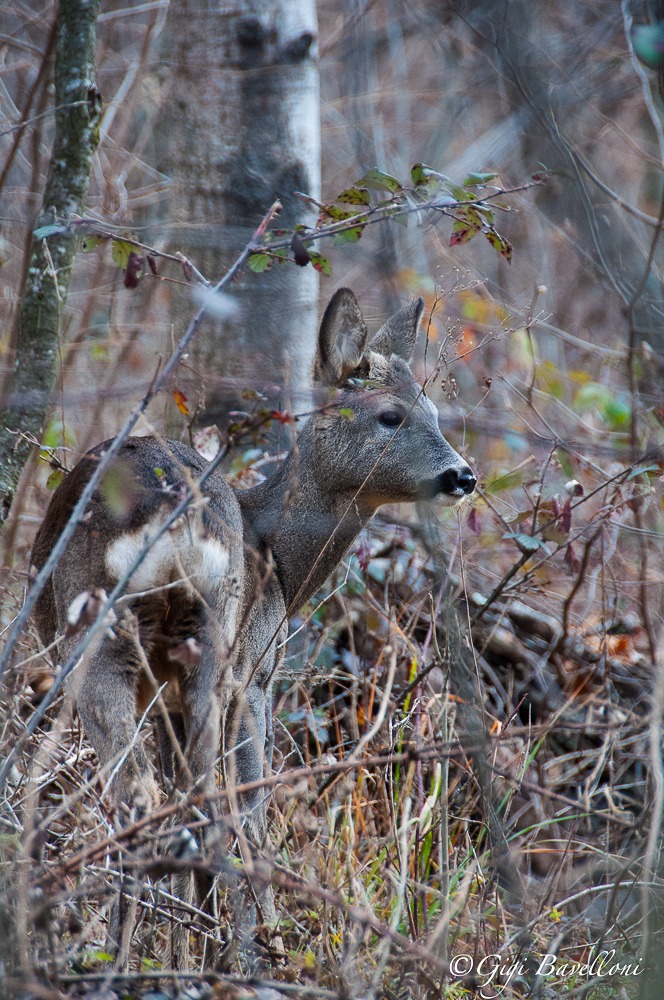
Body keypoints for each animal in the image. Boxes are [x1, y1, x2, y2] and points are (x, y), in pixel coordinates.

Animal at [32, 290, 478, 960]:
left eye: (434, 411)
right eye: (391, 415)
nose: (463, 476)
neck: (282, 568)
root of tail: (174, 517)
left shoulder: (202, 687)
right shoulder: (254, 676)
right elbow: (252, 804)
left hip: (143, 644)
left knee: (161, 798)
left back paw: (174, 948)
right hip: (172, 649)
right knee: (187, 802)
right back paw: (215, 947)